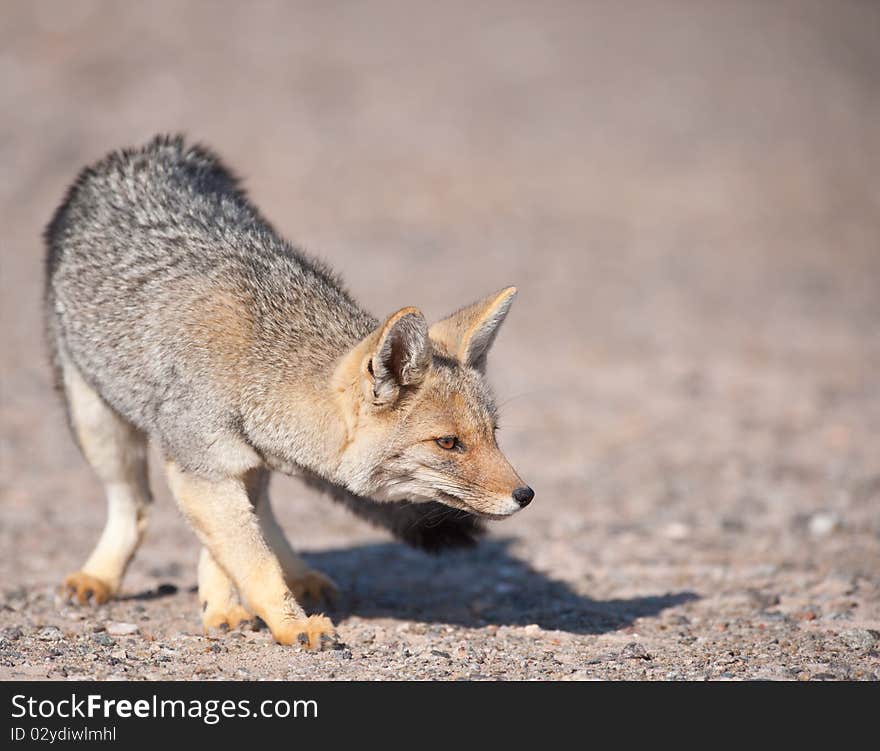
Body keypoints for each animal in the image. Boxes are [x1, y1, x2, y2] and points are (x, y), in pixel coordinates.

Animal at [44, 137, 532, 652]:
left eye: (493, 433)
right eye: (448, 443)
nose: (526, 495)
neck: (256, 365)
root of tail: (152, 148)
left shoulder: (236, 465)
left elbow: (231, 551)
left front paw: (223, 607)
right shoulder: (202, 469)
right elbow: (251, 560)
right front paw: (289, 622)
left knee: (261, 516)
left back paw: (295, 573)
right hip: (98, 426)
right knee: (134, 506)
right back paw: (101, 575)